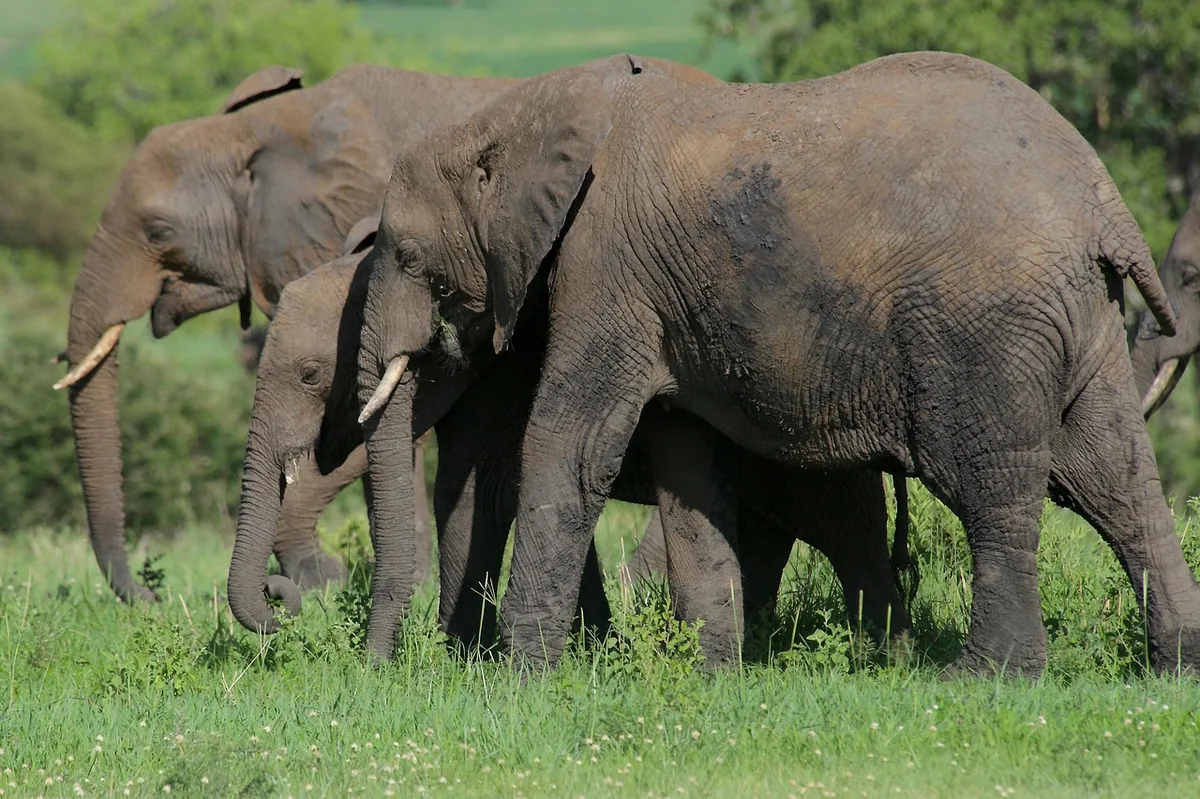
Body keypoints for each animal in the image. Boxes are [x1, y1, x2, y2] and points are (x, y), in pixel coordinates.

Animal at [229, 214, 913, 660]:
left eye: (312, 375)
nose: (283, 603)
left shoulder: (510, 376)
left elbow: (486, 489)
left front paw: (464, 658)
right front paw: (590, 652)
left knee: (846, 532)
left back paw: (885, 658)